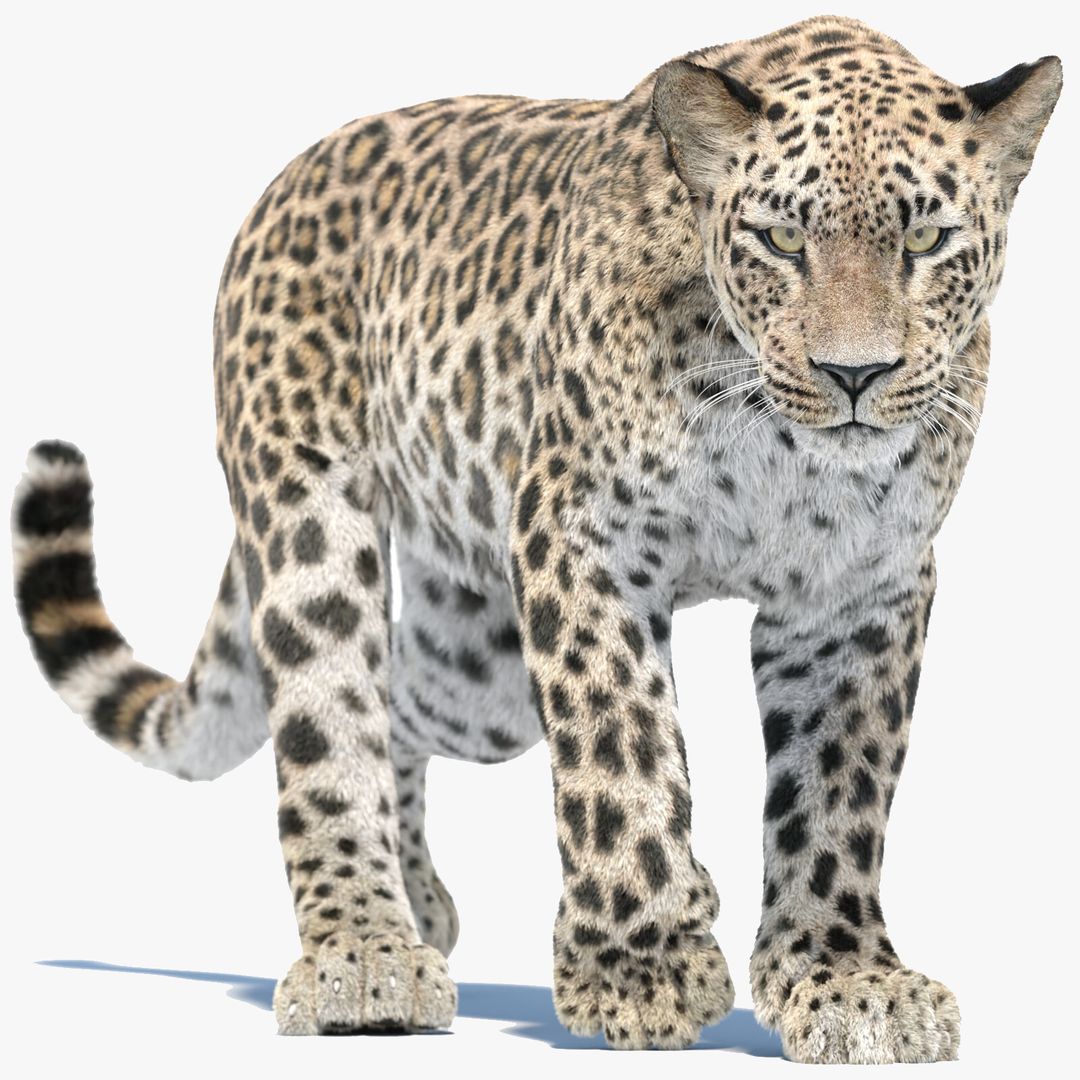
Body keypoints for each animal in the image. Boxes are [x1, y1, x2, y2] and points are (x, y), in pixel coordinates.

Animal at [11, 15, 1061, 1063]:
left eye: (927, 240)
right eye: (781, 239)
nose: (855, 375)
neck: (777, 439)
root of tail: (287, 179)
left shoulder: (856, 590)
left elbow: (838, 795)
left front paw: (845, 979)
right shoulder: (583, 535)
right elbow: (621, 747)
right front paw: (640, 969)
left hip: (479, 666)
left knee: (399, 706)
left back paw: (422, 902)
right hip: (313, 520)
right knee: (332, 724)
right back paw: (365, 954)